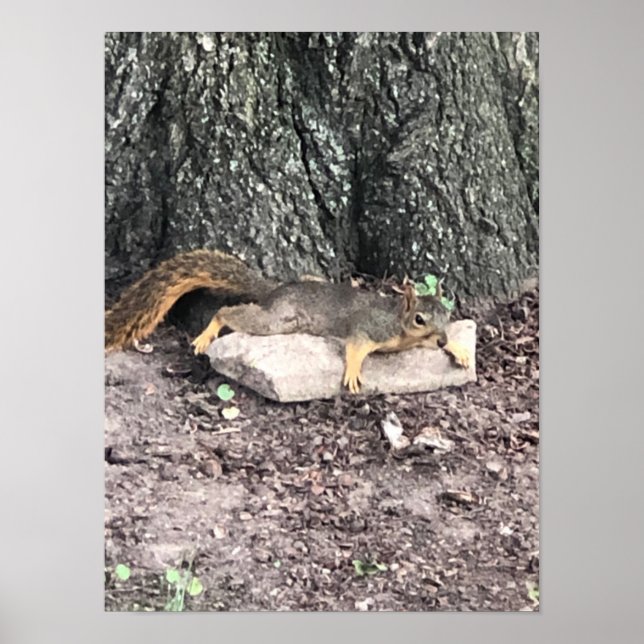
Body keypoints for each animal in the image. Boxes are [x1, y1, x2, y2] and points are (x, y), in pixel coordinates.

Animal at [105, 249, 470, 393]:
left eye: (446, 315)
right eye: (419, 318)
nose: (440, 338)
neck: (399, 322)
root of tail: (276, 290)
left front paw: (458, 349)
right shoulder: (370, 327)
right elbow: (355, 345)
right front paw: (353, 371)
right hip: (278, 320)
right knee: (227, 312)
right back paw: (207, 334)